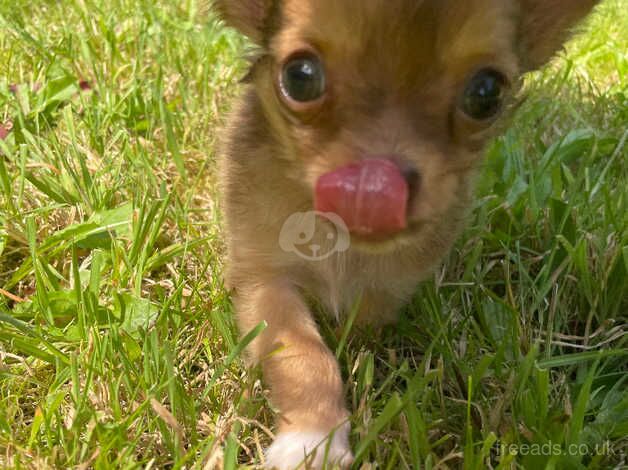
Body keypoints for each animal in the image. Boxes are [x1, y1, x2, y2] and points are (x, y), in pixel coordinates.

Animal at [216, 1, 600, 468]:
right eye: (300, 77)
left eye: (486, 94)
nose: (373, 189)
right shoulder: (264, 278)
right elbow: (302, 355)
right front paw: (314, 439)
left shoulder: (389, 287)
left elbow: (363, 325)